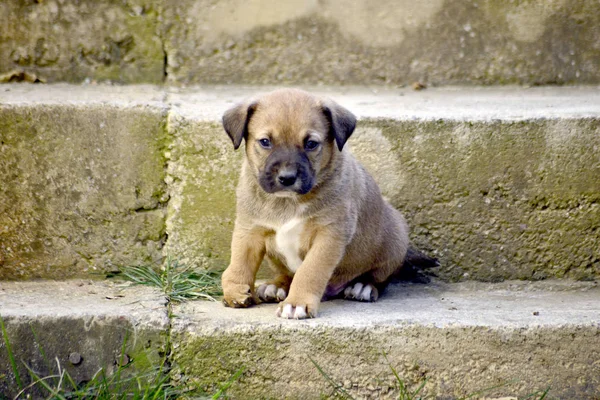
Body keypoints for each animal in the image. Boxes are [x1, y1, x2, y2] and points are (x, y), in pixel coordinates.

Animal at [218, 88, 420, 318]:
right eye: (265, 142)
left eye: (311, 144)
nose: (287, 178)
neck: (287, 201)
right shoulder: (250, 229)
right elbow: (240, 261)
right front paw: (235, 290)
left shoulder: (328, 236)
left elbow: (309, 272)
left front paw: (296, 303)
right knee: (285, 274)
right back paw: (276, 286)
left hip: (396, 240)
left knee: (380, 277)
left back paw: (363, 286)